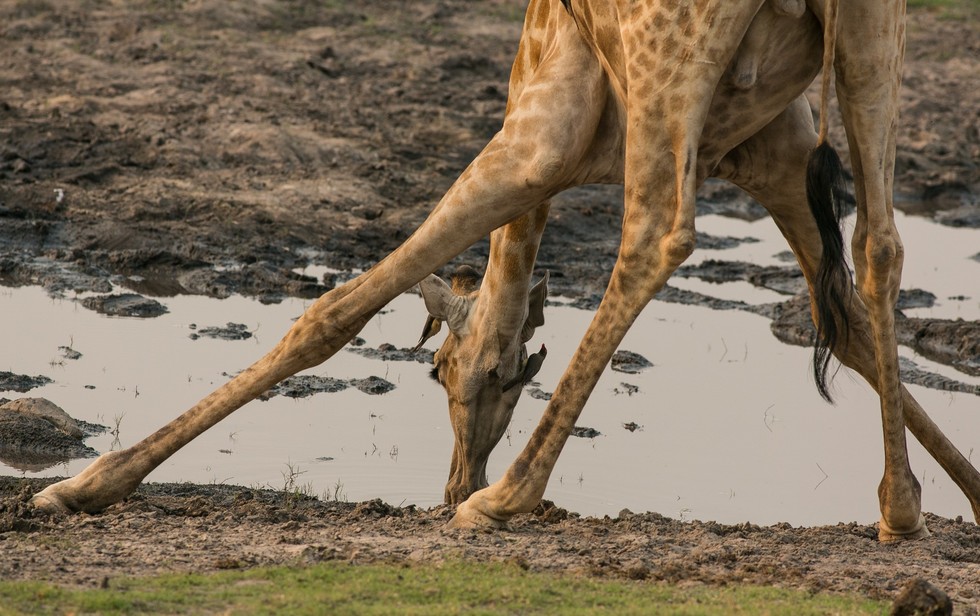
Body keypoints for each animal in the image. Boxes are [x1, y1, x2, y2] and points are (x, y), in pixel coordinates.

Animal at [30, 1, 980, 540]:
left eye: (443, 369)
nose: (456, 477)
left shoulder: (537, 139)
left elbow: (335, 310)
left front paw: (80, 488)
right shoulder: (773, 148)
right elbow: (845, 326)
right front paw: (948, 497)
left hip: (665, 67)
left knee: (655, 235)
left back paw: (509, 499)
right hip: (868, 40)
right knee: (882, 245)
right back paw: (896, 508)